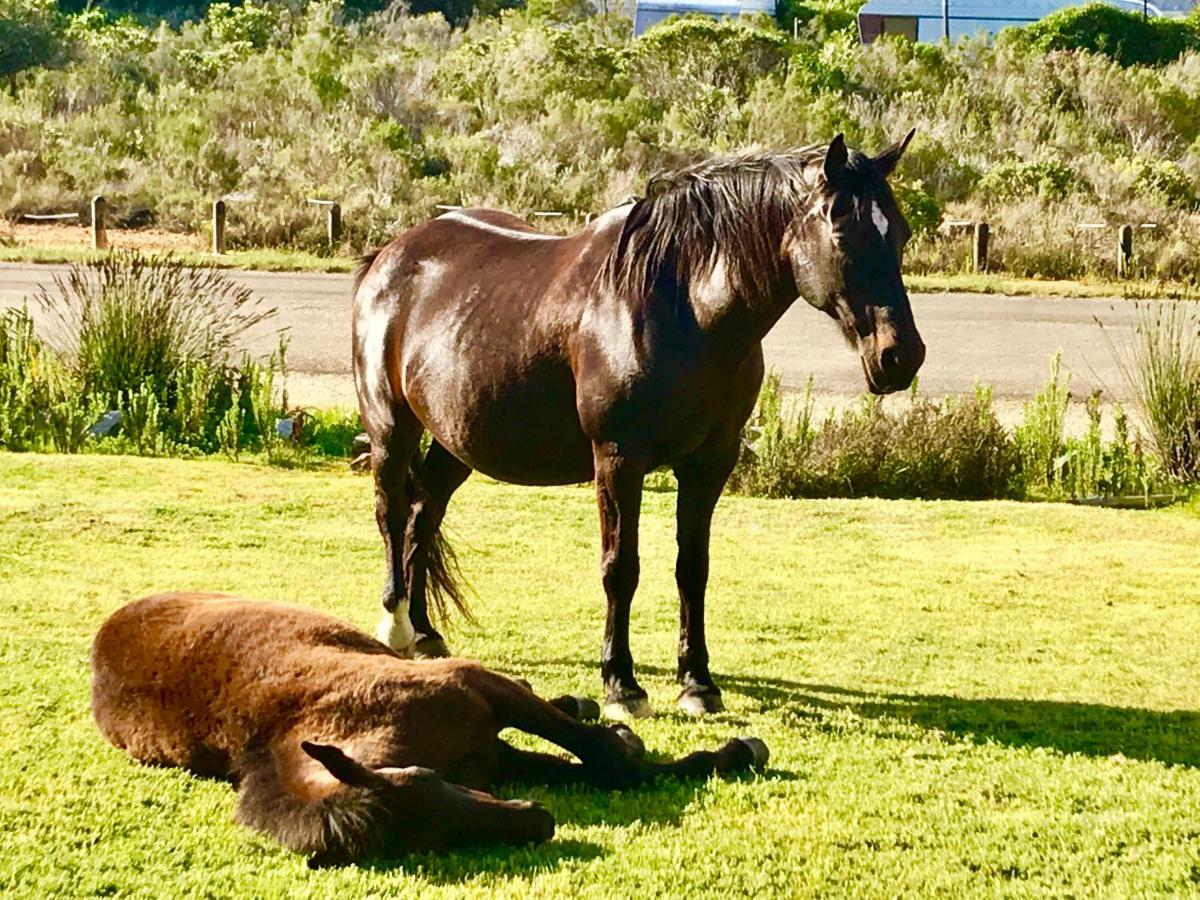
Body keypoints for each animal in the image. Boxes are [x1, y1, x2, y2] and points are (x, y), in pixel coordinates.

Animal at [93, 592, 768, 868]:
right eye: (428, 841)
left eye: (423, 780)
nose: (539, 821)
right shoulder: (492, 755)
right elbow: (603, 768)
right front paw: (724, 756)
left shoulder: (476, 687)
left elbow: (603, 757)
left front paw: (732, 751)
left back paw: (580, 701)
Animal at [350, 132, 921, 720]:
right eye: (842, 228)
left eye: (898, 231)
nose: (900, 356)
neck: (682, 307)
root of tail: (389, 256)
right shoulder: (618, 459)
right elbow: (620, 568)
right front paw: (622, 686)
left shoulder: (709, 463)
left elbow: (693, 568)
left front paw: (697, 683)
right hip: (391, 425)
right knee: (391, 514)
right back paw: (396, 627)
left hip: (453, 441)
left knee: (422, 518)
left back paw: (425, 633)